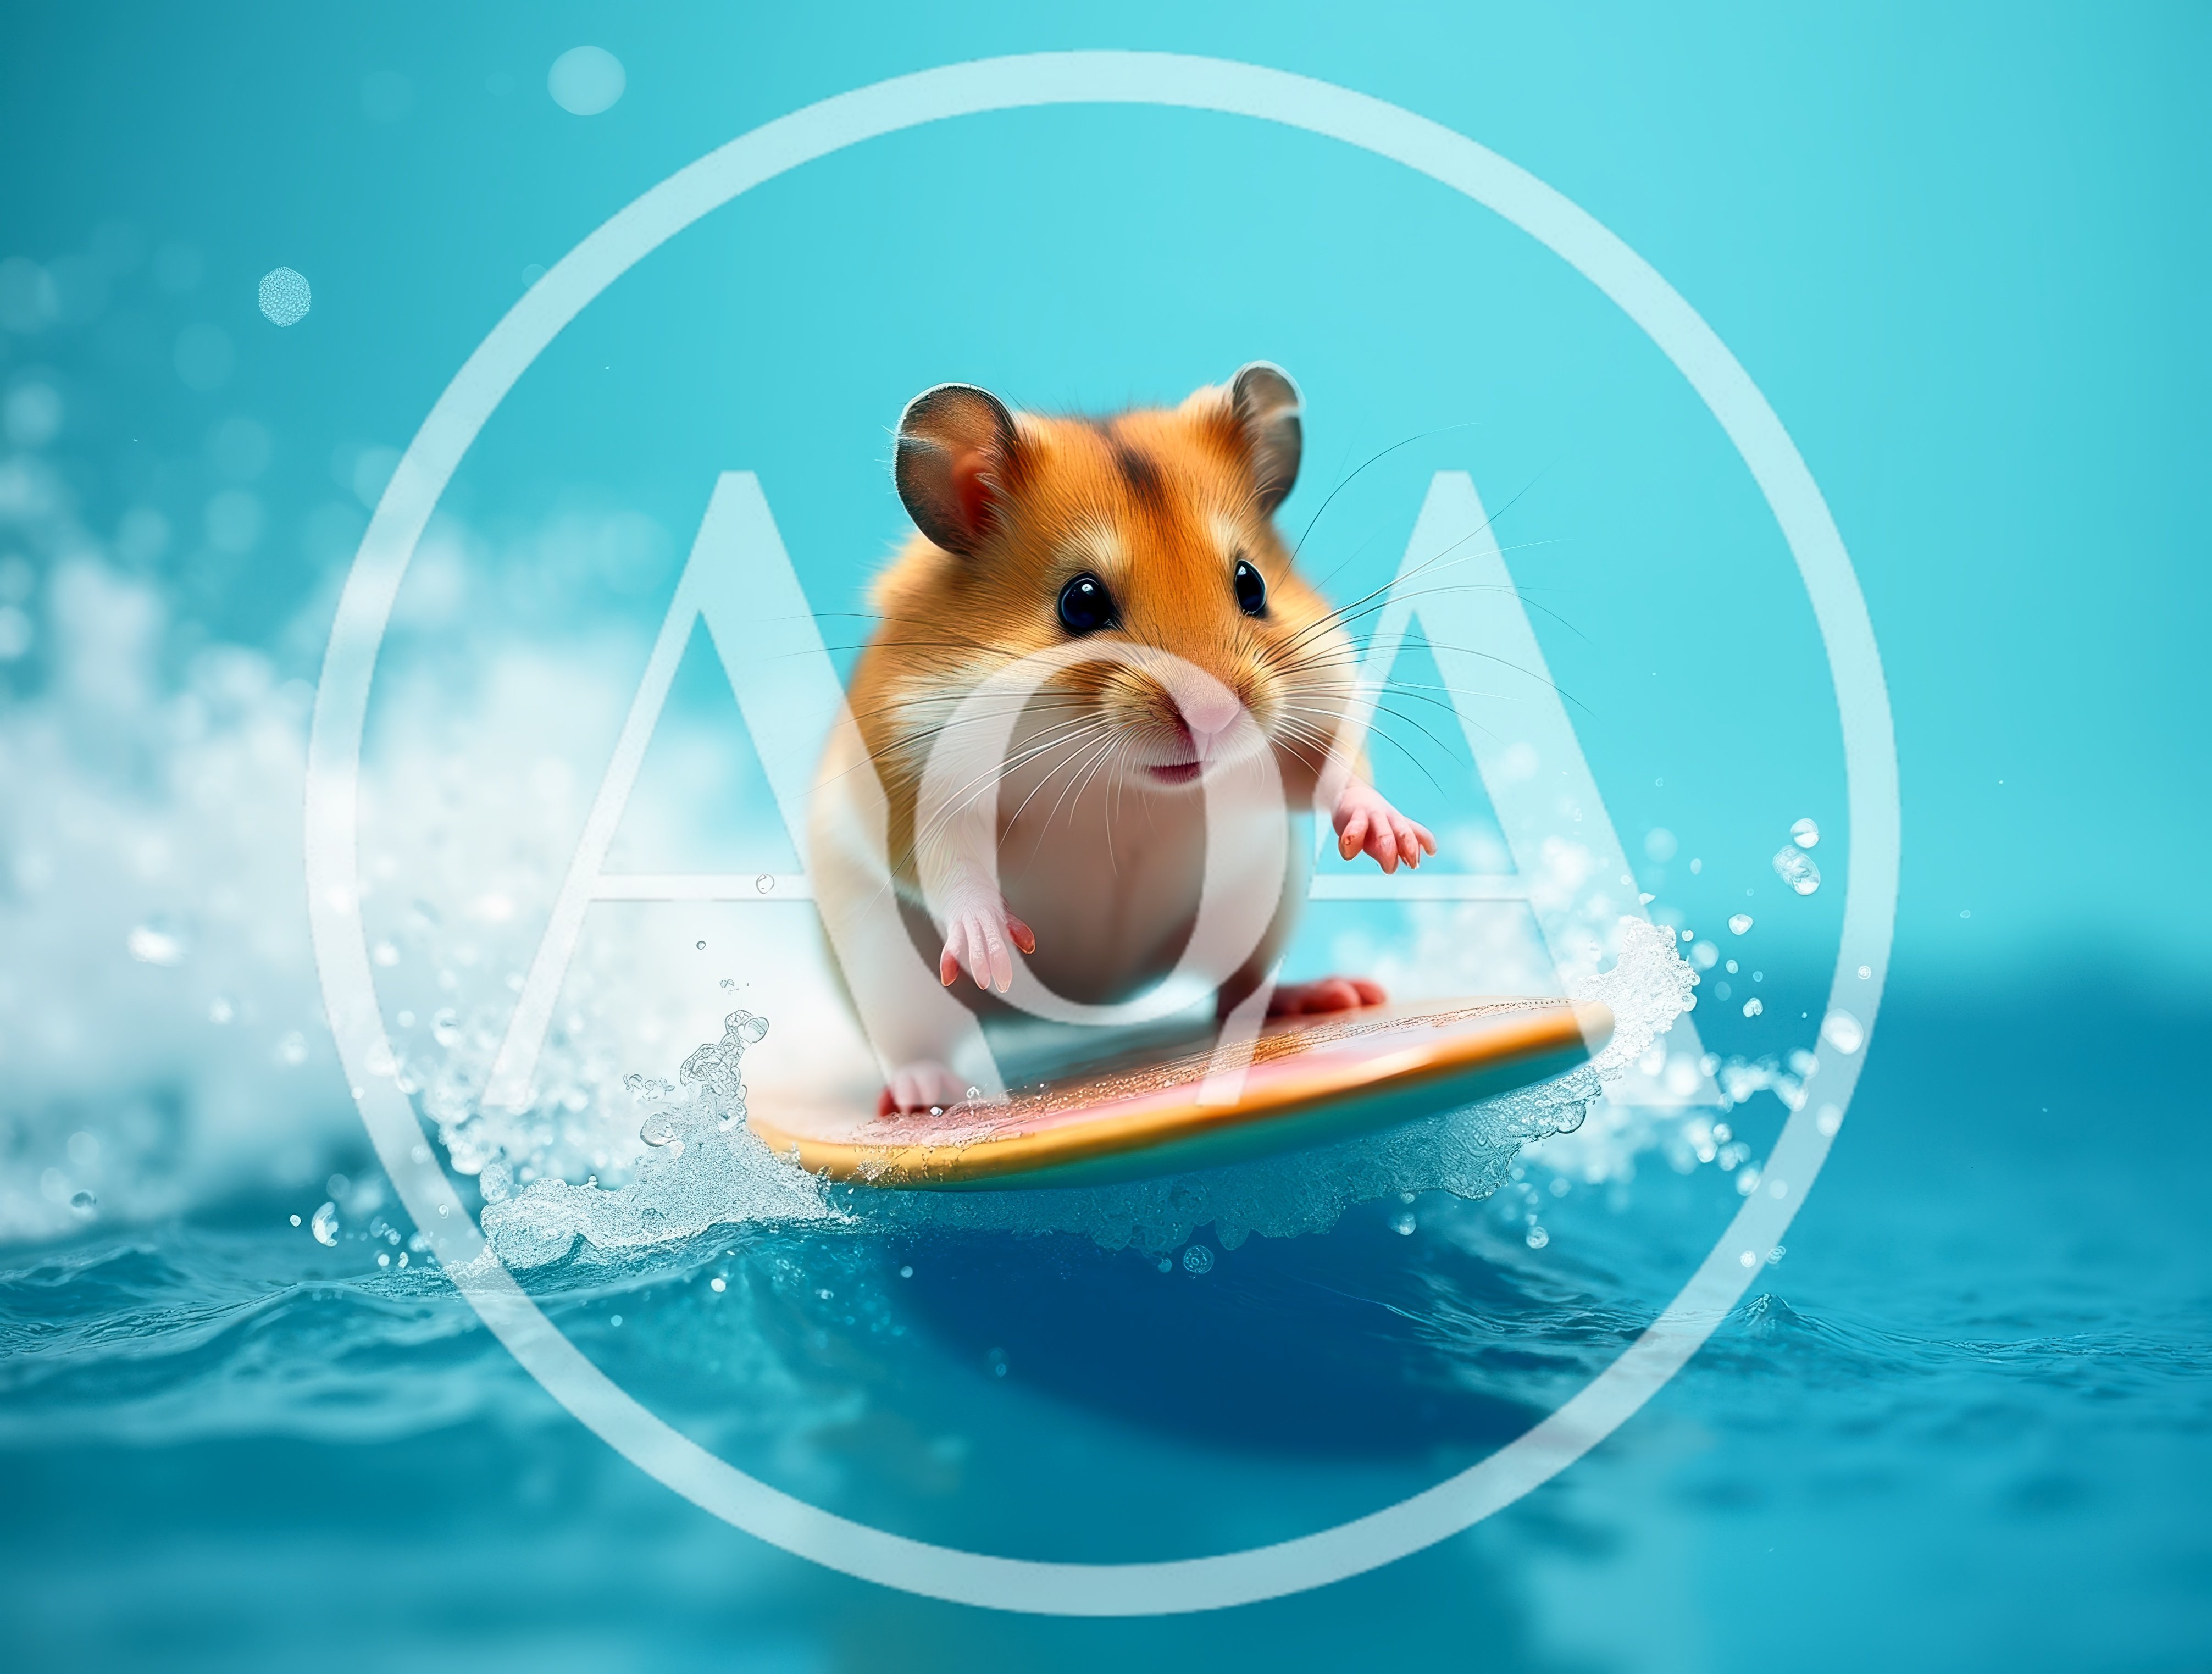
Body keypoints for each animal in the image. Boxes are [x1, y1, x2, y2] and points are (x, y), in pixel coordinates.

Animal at [808, 363, 1435, 1114]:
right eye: (1079, 601)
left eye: (1251, 583)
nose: (1214, 718)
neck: (1122, 783)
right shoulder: (907, 773)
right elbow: (949, 861)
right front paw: (997, 953)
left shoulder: (1318, 702)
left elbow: (1335, 770)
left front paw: (1398, 847)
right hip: (882, 970)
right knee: (914, 1043)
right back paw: (925, 1091)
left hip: (1255, 912)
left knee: (1237, 990)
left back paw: (1325, 995)